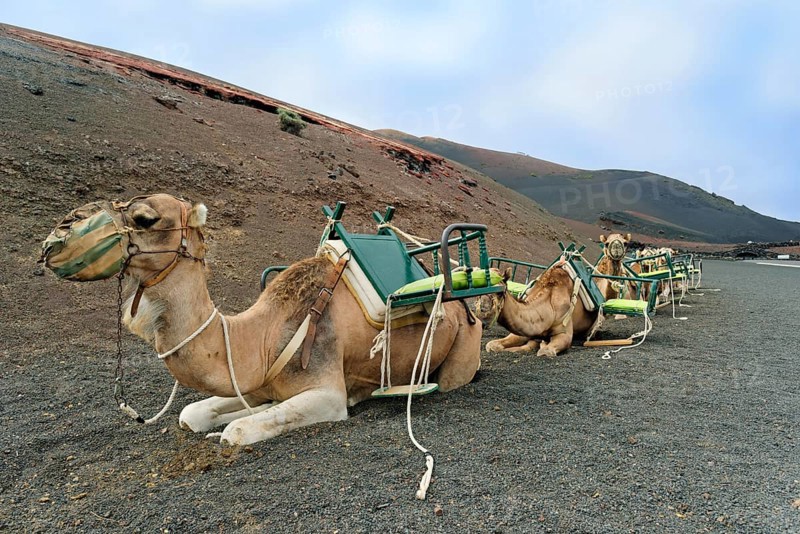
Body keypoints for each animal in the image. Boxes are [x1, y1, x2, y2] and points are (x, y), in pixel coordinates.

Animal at [41, 194, 482, 446]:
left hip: (463, 350)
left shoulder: (327, 392)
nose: (56, 235)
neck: (266, 334)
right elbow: (191, 414)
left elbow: (235, 433)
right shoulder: (255, 380)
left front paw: (229, 429)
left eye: (145, 218)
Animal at [474, 233, 633, 357]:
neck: (548, 302)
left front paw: (540, 345)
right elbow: (492, 345)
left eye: (501, 292)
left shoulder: (564, 332)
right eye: (476, 292)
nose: (483, 317)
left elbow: (545, 351)